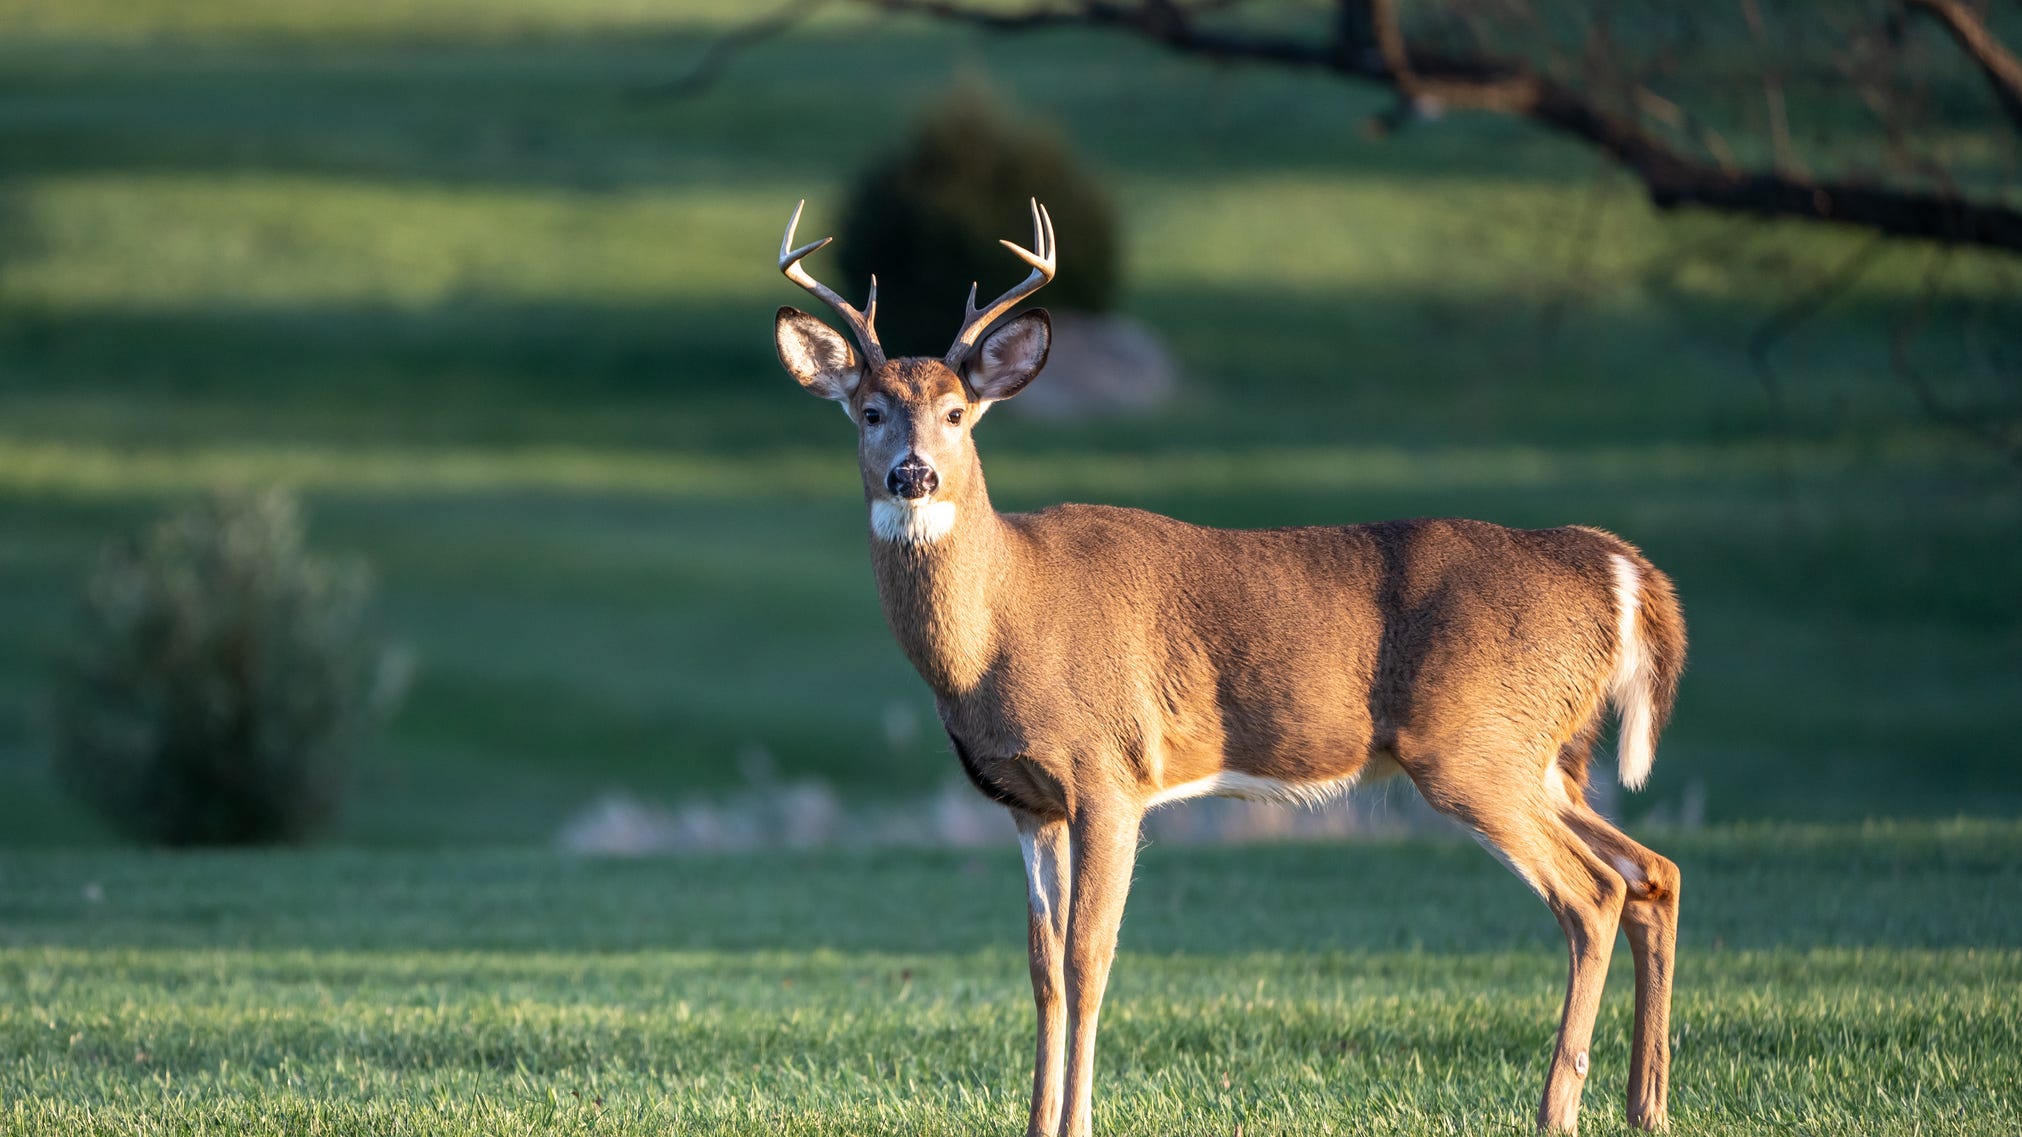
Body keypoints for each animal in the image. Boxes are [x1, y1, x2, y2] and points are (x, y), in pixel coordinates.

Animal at [771, 198, 1687, 1137]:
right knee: (1653, 873)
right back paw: (1645, 1103)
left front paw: (1078, 1121)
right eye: (871, 410)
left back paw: (1557, 1109)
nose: (912, 474)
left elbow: (1090, 958)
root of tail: (1617, 568)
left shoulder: (1108, 772)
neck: (1001, 622)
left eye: (956, 412)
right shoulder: (1027, 800)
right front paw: (1035, 1122)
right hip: (1546, 755)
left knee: (1592, 895)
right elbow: (1042, 968)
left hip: (1474, 747)